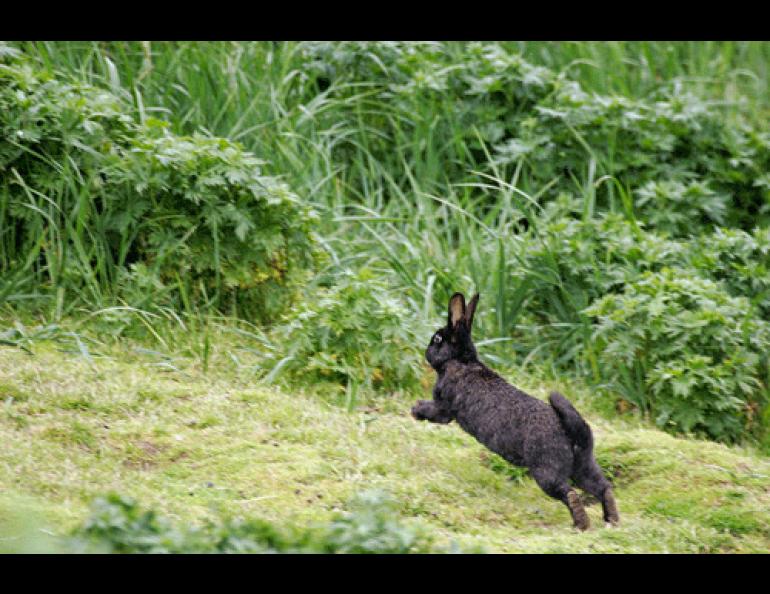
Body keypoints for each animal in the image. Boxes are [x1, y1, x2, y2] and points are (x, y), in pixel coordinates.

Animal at [408, 292, 616, 528]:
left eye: (437, 339)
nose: (426, 351)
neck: (460, 360)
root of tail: (574, 433)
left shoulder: (443, 407)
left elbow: (433, 411)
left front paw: (415, 409)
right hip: (582, 467)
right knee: (603, 488)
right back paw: (612, 521)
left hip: (546, 471)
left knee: (570, 494)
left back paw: (581, 526)